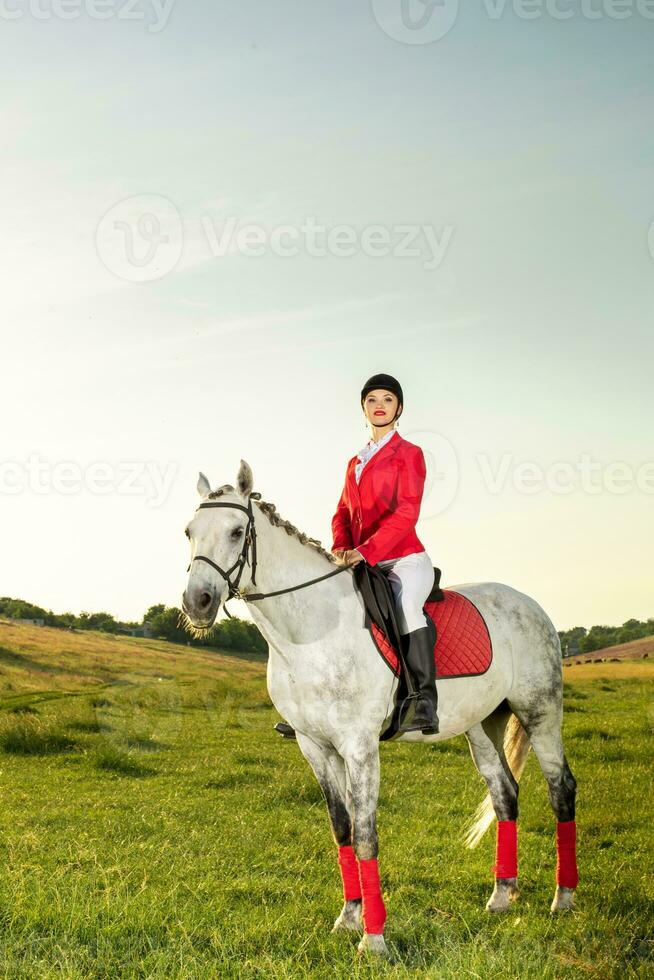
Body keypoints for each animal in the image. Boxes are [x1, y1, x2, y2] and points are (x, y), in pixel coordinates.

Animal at [179, 464, 580, 960]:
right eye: (189, 532)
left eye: (237, 532)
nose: (196, 602)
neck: (311, 634)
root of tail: (529, 602)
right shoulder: (314, 747)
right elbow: (342, 828)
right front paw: (349, 918)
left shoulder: (359, 746)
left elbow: (366, 834)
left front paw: (373, 939)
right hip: (482, 724)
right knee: (505, 793)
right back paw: (502, 896)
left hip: (540, 713)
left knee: (561, 789)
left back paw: (564, 898)